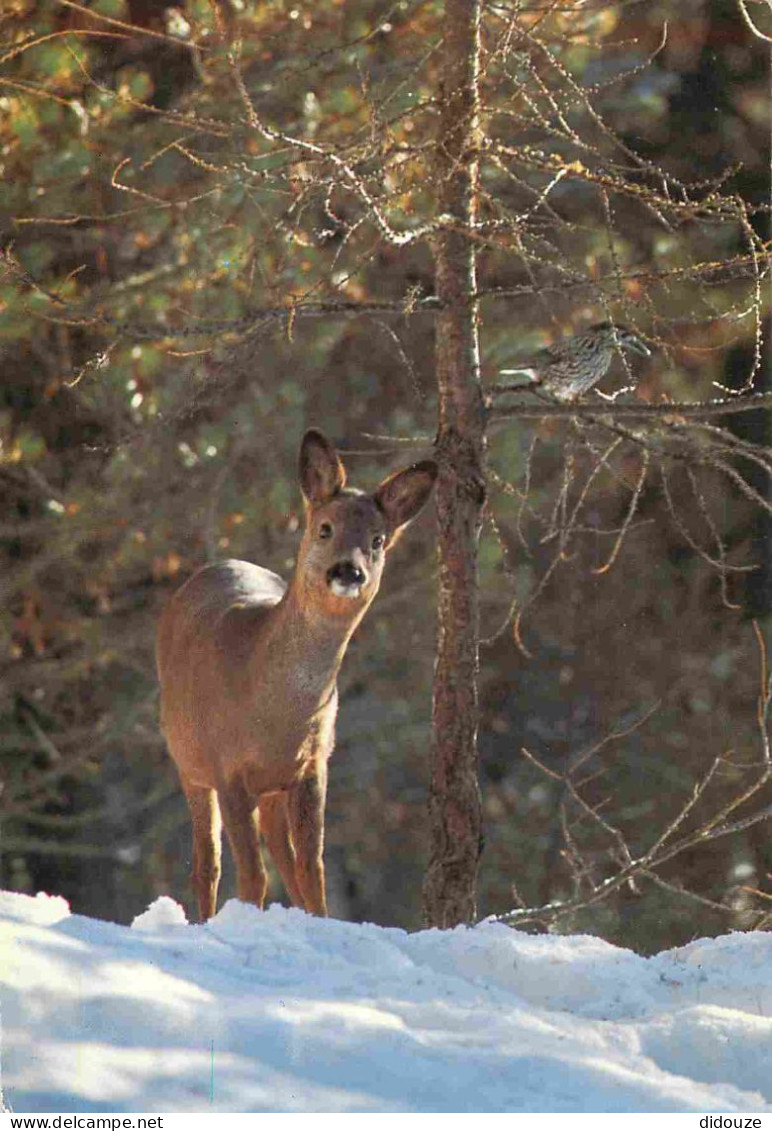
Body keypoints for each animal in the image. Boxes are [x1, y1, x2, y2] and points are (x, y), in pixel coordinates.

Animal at [157, 429, 438, 918]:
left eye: (378, 539)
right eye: (325, 528)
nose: (349, 571)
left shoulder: (314, 764)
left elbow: (312, 868)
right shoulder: (226, 767)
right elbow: (252, 874)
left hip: (271, 787)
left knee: (282, 854)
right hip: (187, 759)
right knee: (207, 862)